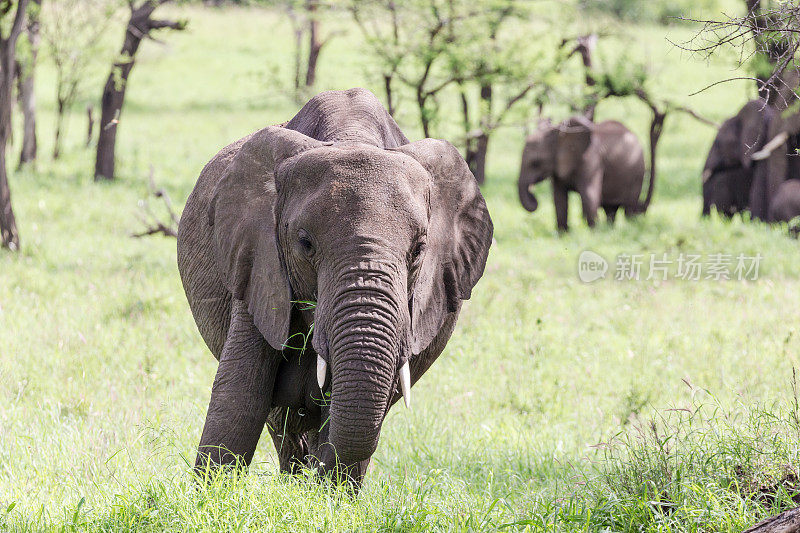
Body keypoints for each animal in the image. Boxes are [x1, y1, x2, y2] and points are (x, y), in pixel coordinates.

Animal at [177, 88, 494, 490]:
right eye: (305, 244)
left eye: (420, 249)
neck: (351, 136)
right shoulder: (259, 263)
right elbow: (240, 398)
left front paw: (328, 498)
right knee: (280, 420)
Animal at [516, 116, 648, 231]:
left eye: (536, 163)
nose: (534, 198)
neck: (560, 136)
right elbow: (559, 197)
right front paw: (563, 234)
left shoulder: (591, 160)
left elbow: (589, 194)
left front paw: (594, 233)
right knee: (610, 209)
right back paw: (610, 230)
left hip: (637, 172)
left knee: (629, 208)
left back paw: (630, 227)